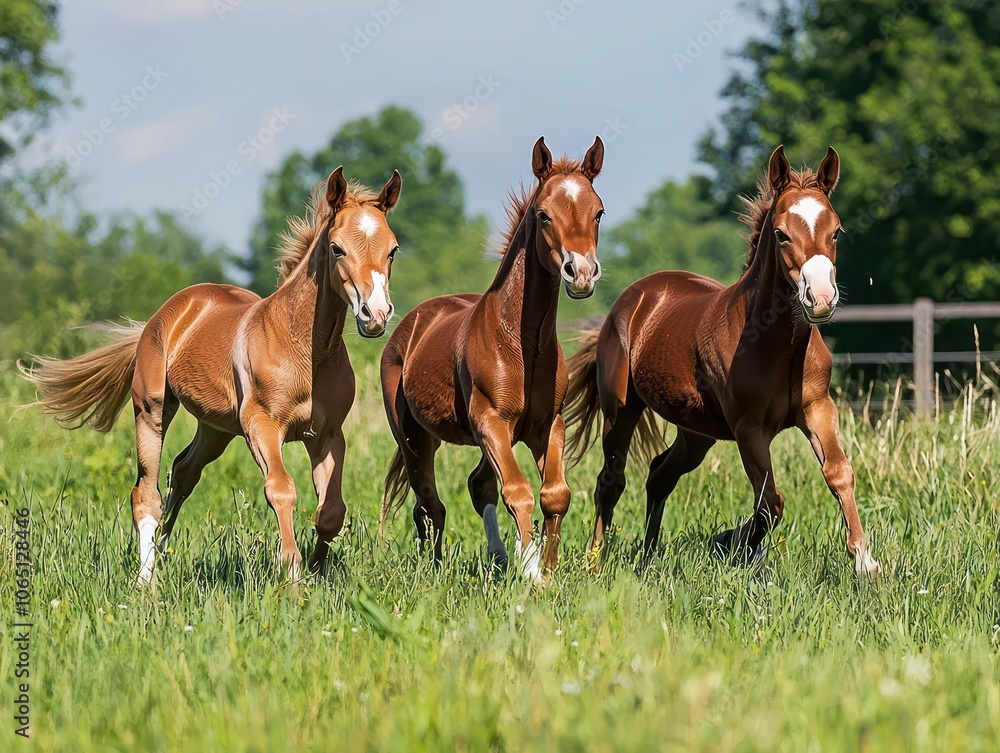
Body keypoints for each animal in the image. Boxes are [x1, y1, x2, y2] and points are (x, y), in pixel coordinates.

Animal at [21, 167, 403, 584]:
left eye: (393, 249)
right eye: (336, 248)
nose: (375, 315)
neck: (305, 351)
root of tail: (171, 309)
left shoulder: (327, 435)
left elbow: (331, 511)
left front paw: (316, 574)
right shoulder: (262, 426)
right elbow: (281, 489)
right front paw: (291, 573)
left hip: (216, 429)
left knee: (183, 472)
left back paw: (164, 552)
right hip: (152, 410)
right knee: (146, 494)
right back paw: (145, 580)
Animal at [378, 136, 605, 581]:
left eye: (599, 212)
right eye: (543, 215)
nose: (582, 273)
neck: (523, 344)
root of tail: (410, 325)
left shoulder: (546, 425)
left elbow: (555, 494)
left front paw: (546, 567)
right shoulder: (490, 420)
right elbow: (518, 492)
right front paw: (534, 574)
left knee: (476, 485)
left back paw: (500, 556)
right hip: (415, 438)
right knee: (429, 504)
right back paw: (437, 567)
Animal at [563, 145, 881, 578]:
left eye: (836, 231)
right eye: (781, 234)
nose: (820, 299)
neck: (776, 344)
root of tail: (632, 299)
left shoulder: (817, 408)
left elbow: (838, 473)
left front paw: (865, 562)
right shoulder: (750, 429)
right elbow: (770, 504)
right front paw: (728, 543)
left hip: (697, 432)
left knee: (660, 475)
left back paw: (648, 557)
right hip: (621, 412)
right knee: (610, 481)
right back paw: (595, 562)